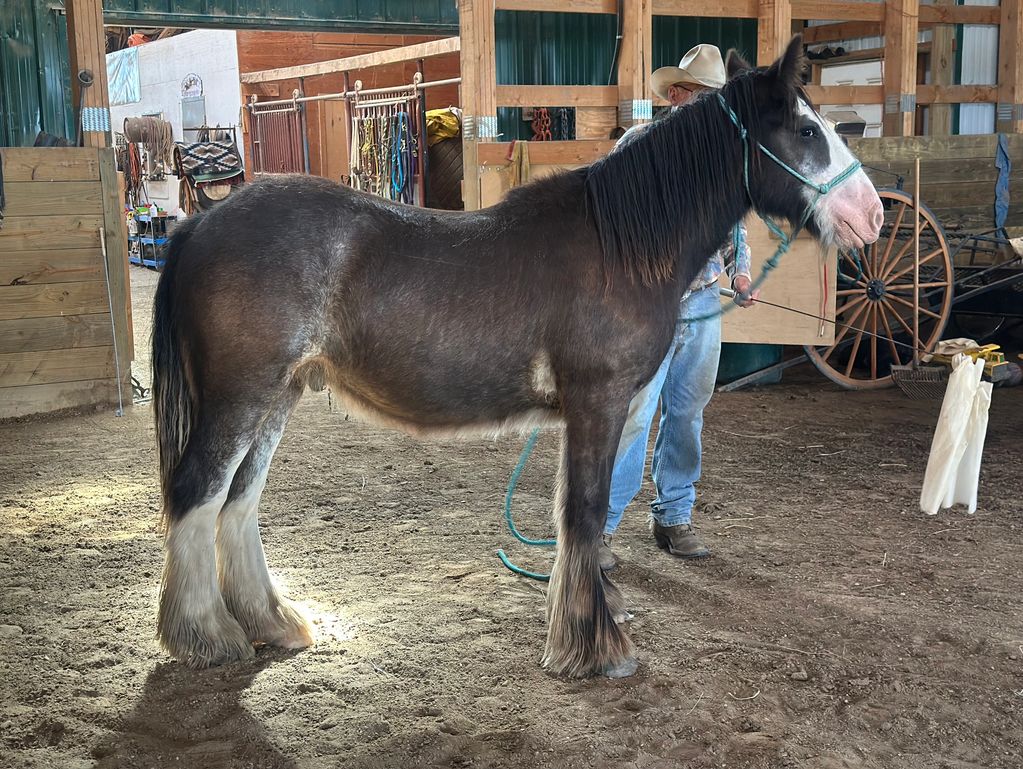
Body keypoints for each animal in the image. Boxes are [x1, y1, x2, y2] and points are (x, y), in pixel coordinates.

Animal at [151, 37, 883, 678]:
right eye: (807, 131)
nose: (871, 214)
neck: (620, 244)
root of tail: (200, 223)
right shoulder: (598, 401)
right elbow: (584, 512)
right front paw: (595, 648)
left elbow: (574, 517)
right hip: (239, 396)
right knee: (197, 492)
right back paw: (205, 635)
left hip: (279, 395)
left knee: (237, 502)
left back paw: (273, 622)